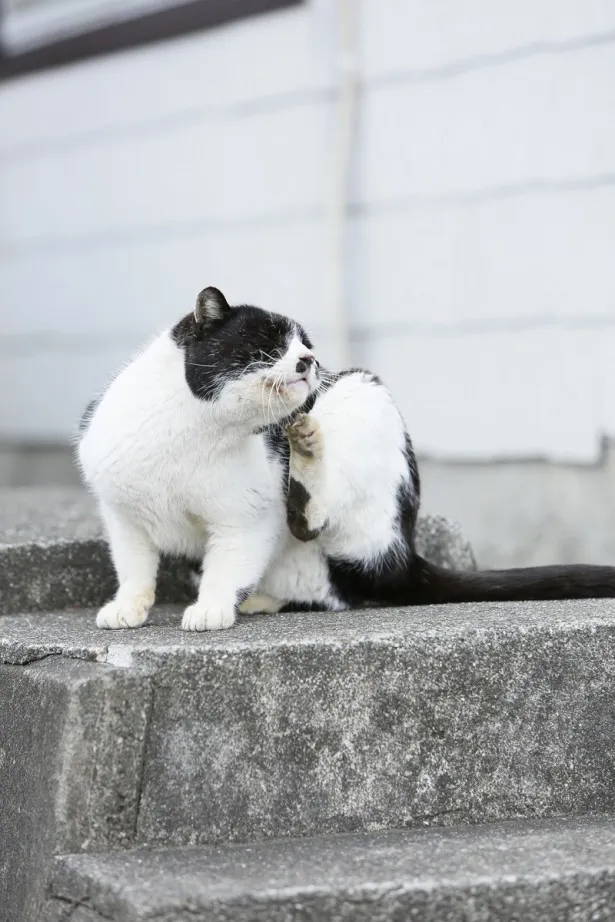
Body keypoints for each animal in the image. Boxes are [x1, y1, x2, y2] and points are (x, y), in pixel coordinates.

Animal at [78, 288, 615, 632]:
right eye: (268, 342)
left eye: (307, 347)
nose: (309, 362)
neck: (195, 432)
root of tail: (405, 552)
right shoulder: (123, 516)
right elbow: (134, 567)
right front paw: (127, 608)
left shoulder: (244, 519)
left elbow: (226, 566)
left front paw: (209, 610)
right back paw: (262, 598)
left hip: (363, 393)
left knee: (317, 533)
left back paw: (306, 452)